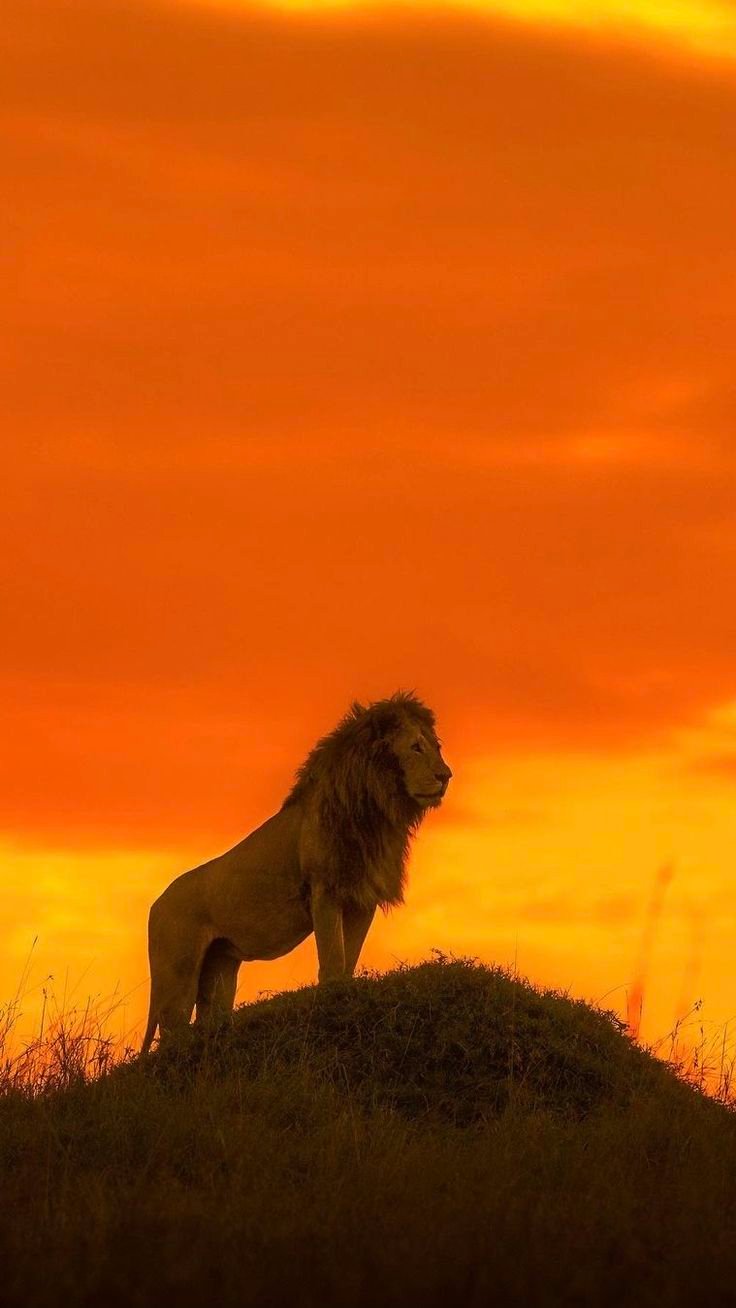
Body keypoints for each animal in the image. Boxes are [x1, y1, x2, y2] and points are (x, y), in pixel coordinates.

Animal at [140, 691, 452, 1053]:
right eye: (416, 747)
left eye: (436, 746)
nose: (446, 775)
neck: (374, 814)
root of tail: (155, 905)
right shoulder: (323, 891)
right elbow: (332, 960)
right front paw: (335, 1001)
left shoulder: (362, 899)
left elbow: (349, 957)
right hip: (176, 977)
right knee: (171, 1033)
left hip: (218, 968)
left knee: (208, 1019)